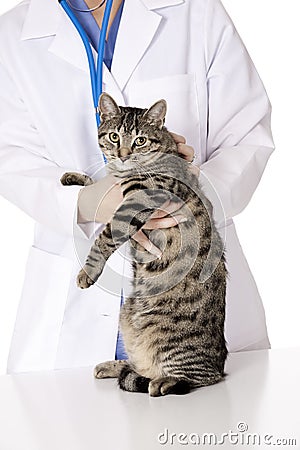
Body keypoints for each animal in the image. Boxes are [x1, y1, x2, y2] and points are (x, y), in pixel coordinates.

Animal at [60, 93, 227, 396]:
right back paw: (116, 367)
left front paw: (87, 272)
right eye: (114, 136)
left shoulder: (137, 202)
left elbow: (104, 237)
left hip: (170, 340)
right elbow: (97, 186)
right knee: (141, 363)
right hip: (127, 316)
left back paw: (162, 382)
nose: (123, 155)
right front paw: (76, 179)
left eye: (140, 140)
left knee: (200, 377)